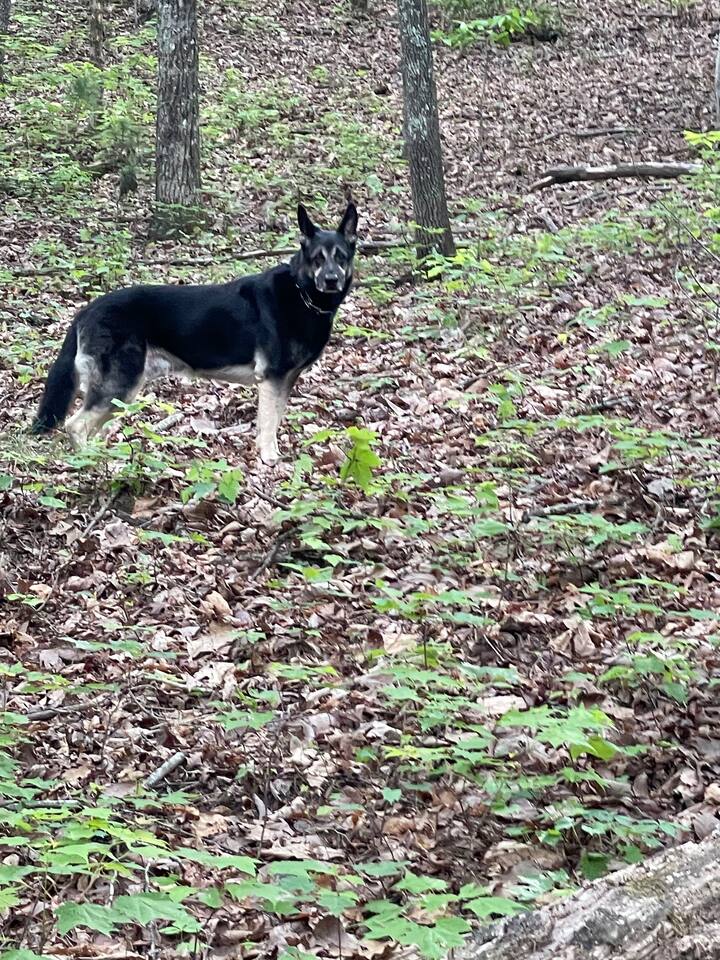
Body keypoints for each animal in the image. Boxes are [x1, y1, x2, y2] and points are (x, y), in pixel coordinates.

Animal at [31, 202, 358, 464]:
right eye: (317, 258)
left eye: (341, 257)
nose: (332, 280)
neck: (303, 294)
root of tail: (87, 310)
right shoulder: (272, 379)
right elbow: (267, 425)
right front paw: (269, 460)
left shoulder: (285, 380)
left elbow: (275, 419)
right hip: (119, 383)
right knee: (75, 425)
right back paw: (91, 461)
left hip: (125, 388)